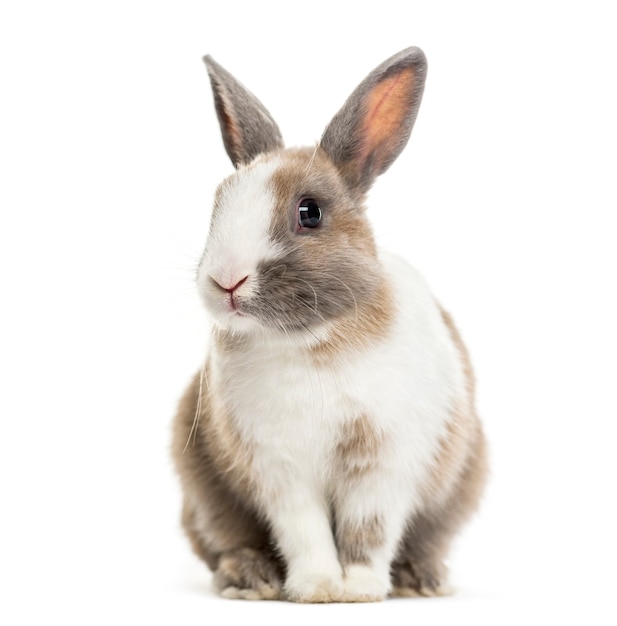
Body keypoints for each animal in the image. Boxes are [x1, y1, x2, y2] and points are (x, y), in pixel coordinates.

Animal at [170, 46, 486, 604]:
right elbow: (305, 531)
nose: (226, 281)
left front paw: (358, 590)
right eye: (217, 205)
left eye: (310, 212)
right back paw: (250, 579)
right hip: (203, 494)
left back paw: (423, 580)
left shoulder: (383, 465)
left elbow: (368, 531)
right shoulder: (279, 470)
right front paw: (318, 588)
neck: (308, 342)